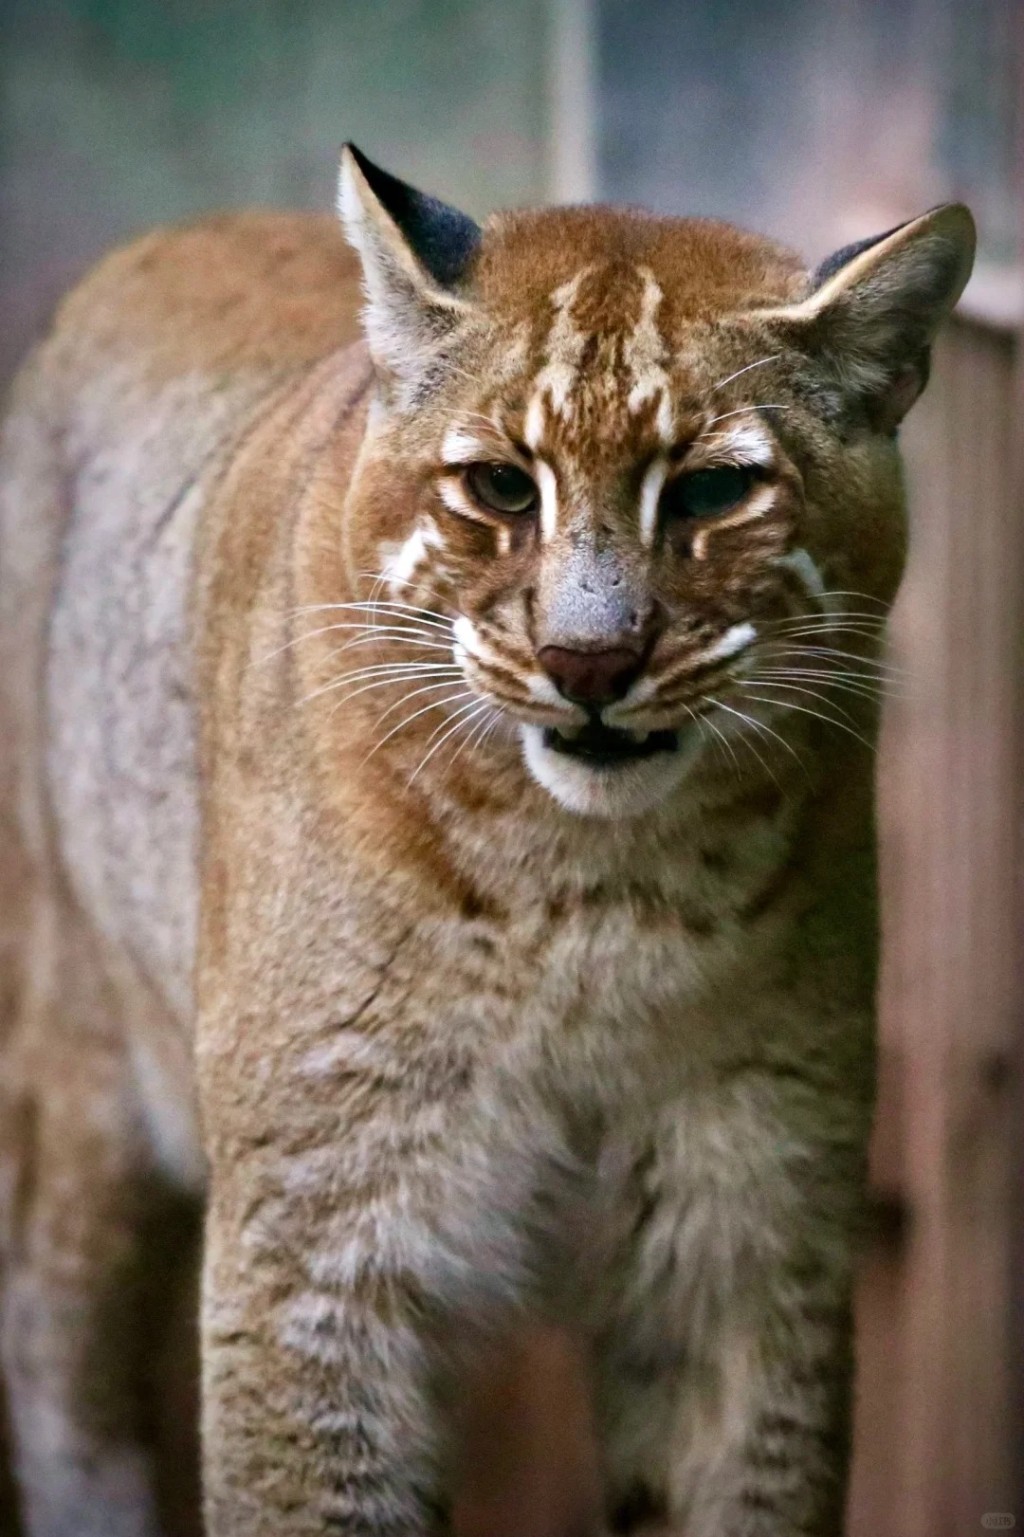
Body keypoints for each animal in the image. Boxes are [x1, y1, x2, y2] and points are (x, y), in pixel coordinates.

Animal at [0, 146, 971, 1537]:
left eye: (714, 490)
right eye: (503, 487)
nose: (590, 663)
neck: (596, 898)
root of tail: (171, 235)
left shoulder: (747, 1231)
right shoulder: (320, 1244)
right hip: (77, 1070)